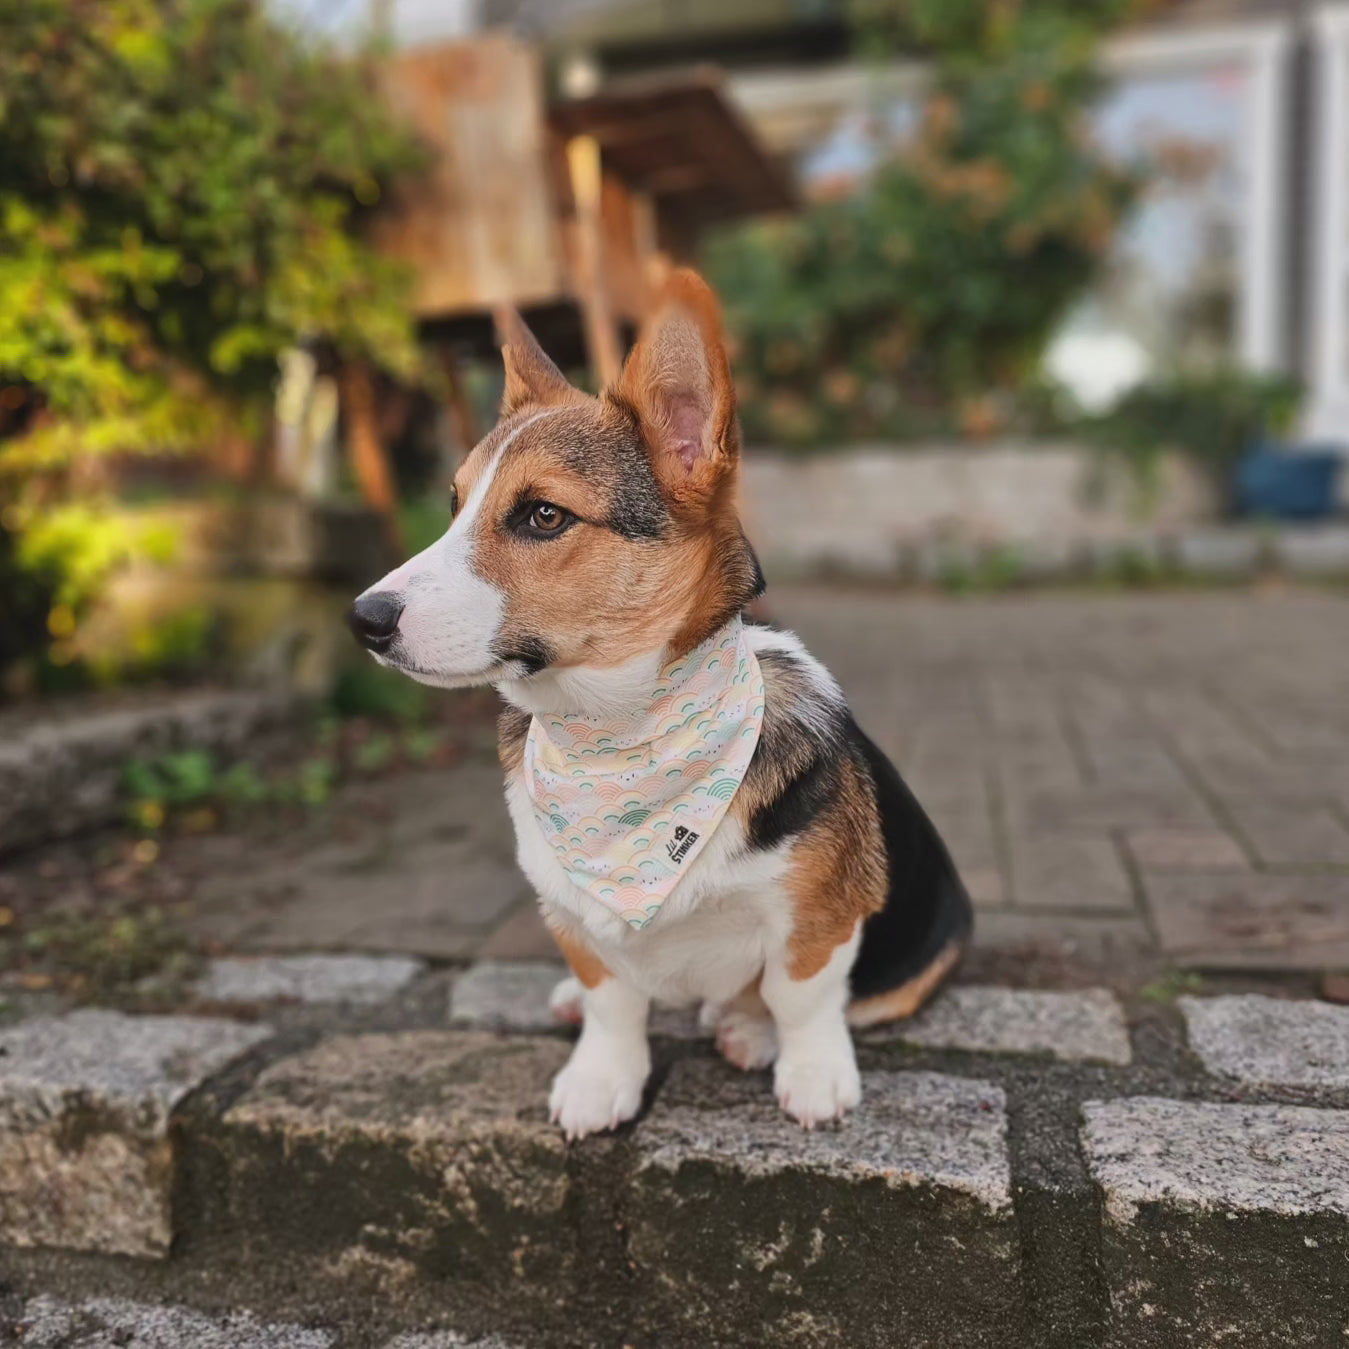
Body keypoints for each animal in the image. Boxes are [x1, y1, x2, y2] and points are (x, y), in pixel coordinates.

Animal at [350, 271, 971, 1138]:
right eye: (452, 506)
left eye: (543, 514)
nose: (363, 618)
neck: (619, 736)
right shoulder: (574, 914)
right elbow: (613, 1001)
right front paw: (599, 1077)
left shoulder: (821, 912)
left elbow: (802, 993)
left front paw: (813, 1076)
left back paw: (745, 1029)